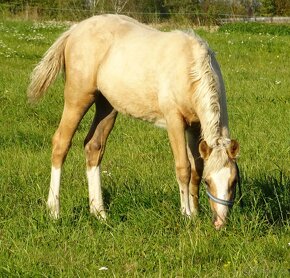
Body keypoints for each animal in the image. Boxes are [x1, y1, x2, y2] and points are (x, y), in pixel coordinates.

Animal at [27, 14, 240, 229]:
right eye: (208, 182)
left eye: (233, 181)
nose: (220, 222)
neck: (189, 68)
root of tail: (74, 30)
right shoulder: (174, 121)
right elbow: (184, 168)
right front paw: (186, 215)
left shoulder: (195, 127)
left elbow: (197, 169)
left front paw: (196, 214)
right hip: (78, 98)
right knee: (61, 144)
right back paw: (54, 211)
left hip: (107, 106)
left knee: (93, 146)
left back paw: (99, 213)